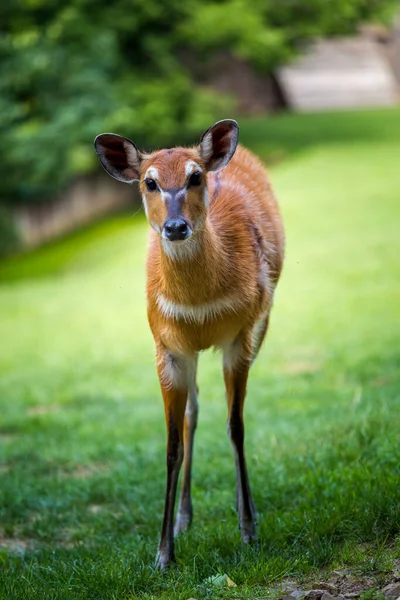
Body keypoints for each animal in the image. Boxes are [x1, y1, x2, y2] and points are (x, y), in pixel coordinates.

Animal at [95, 119, 284, 568]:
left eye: (195, 176)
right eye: (149, 182)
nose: (176, 227)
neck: (200, 307)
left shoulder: (239, 337)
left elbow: (236, 427)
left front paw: (249, 530)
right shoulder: (167, 347)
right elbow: (172, 444)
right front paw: (164, 553)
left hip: (264, 320)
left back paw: (244, 509)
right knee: (193, 412)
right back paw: (184, 518)